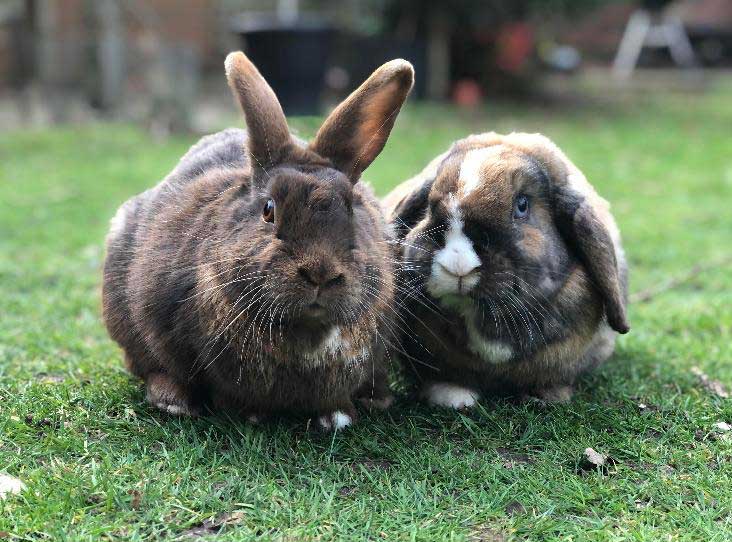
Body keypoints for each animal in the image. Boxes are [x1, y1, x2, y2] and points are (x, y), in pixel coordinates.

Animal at [102, 51, 414, 430]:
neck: (306, 332)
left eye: (353, 207)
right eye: (269, 210)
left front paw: (336, 417)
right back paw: (174, 402)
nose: (321, 273)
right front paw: (251, 412)